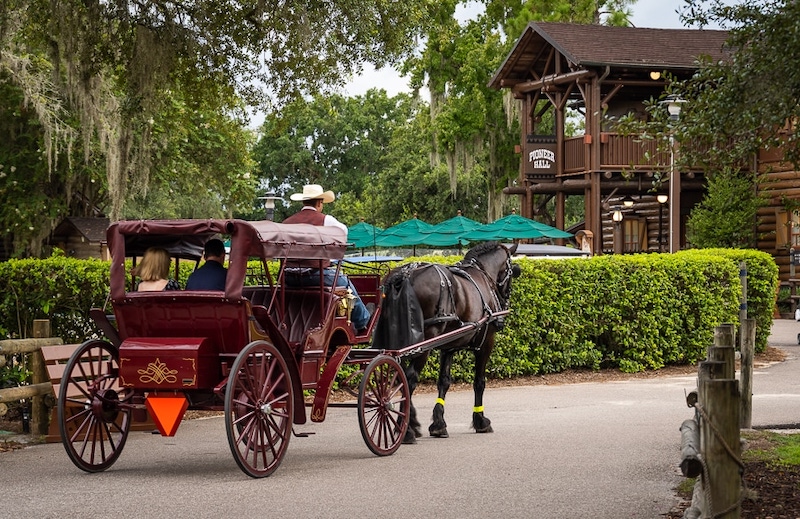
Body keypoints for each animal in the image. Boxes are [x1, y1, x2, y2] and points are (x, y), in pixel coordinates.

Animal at [374, 243, 520, 442]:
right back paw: (407, 431)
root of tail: (405, 275)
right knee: (409, 378)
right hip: (423, 344)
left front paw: (438, 423)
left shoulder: (448, 347)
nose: (505, 299)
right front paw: (480, 420)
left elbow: (444, 381)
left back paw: (409, 423)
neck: (482, 273)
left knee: (399, 377)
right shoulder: (485, 343)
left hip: (398, 343)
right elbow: (479, 382)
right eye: (512, 271)